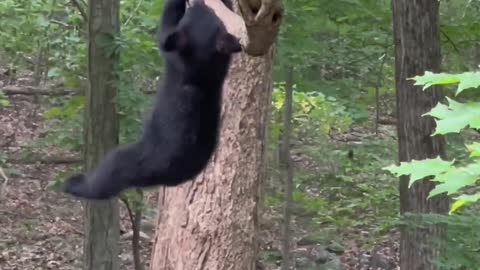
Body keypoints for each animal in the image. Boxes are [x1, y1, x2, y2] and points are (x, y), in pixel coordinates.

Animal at [63, 0, 242, 199]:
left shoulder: (174, 54)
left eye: (197, 11)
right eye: (209, 12)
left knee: (105, 177)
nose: (199, 3)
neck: (201, 74)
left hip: (127, 161)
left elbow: (164, 32)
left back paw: (75, 184)